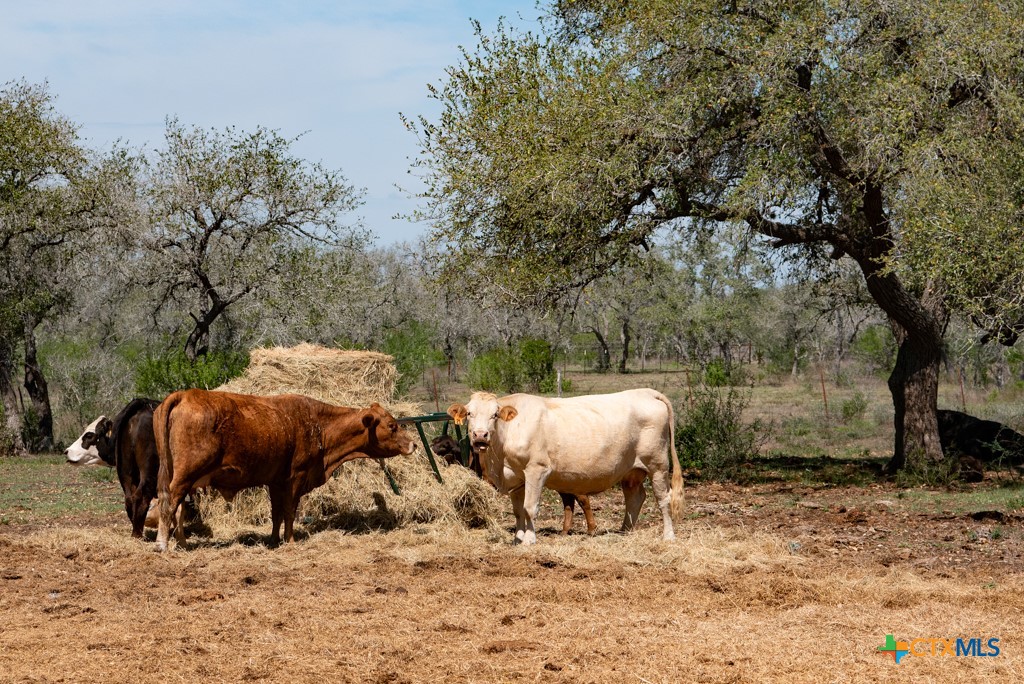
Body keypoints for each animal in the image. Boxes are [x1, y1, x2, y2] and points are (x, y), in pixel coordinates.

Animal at [153, 389, 417, 552]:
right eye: (392, 425)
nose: (413, 444)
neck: (318, 426)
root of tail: (185, 394)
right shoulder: (296, 477)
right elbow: (290, 511)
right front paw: (290, 541)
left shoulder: (276, 481)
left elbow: (277, 513)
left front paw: (273, 540)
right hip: (184, 476)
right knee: (170, 503)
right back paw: (162, 544)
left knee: (176, 508)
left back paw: (182, 543)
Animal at [431, 432, 596, 535]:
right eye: (434, 441)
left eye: (444, 445)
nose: (430, 450)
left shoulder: (488, 482)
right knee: (568, 504)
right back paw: (564, 531)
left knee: (583, 501)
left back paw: (591, 529)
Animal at [447, 389, 683, 545]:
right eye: (469, 413)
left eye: (495, 415)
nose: (480, 436)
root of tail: (646, 392)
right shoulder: (517, 477)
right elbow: (518, 511)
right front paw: (518, 538)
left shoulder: (537, 470)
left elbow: (530, 507)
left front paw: (529, 540)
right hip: (631, 471)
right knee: (635, 497)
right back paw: (626, 531)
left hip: (658, 464)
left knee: (663, 498)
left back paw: (668, 536)